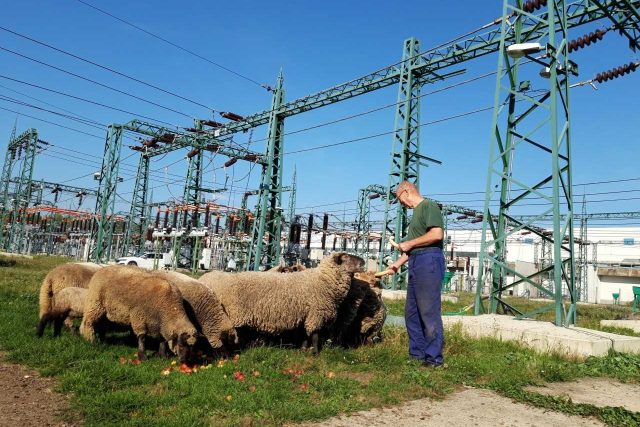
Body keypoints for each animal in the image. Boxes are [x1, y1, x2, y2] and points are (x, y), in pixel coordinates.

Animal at [200, 252, 362, 356]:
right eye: (346, 257)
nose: (363, 261)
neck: (323, 280)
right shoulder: (316, 313)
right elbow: (315, 335)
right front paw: (315, 353)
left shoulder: (306, 314)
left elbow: (305, 334)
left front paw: (303, 349)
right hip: (235, 314)